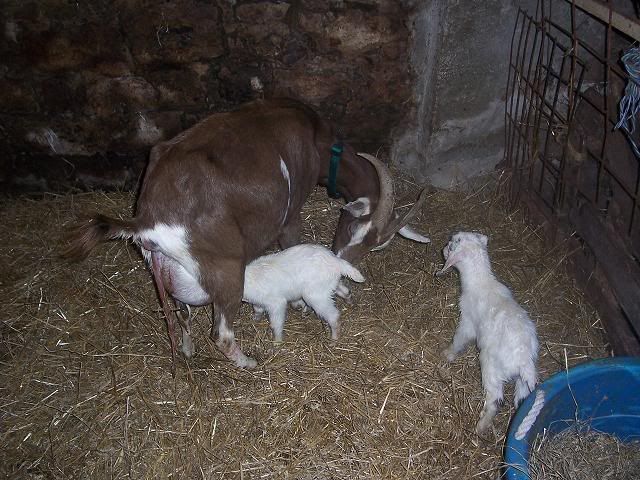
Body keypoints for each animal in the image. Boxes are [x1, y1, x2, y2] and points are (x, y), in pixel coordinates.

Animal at [63, 98, 429, 369]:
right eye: (354, 227)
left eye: (376, 247)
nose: (343, 264)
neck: (319, 142)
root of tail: (148, 217)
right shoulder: (290, 214)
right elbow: (293, 246)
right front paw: (312, 299)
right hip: (224, 267)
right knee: (222, 333)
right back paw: (248, 362)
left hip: (169, 272)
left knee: (181, 314)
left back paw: (187, 350)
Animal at [437, 232, 538, 434]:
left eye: (451, 245)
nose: (443, 249)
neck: (480, 280)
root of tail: (523, 359)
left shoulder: (467, 321)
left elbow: (459, 339)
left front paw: (448, 353)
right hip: (522, 384)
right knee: (520, 401)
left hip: (490, 367)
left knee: (494, 400)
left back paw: (481, 425)